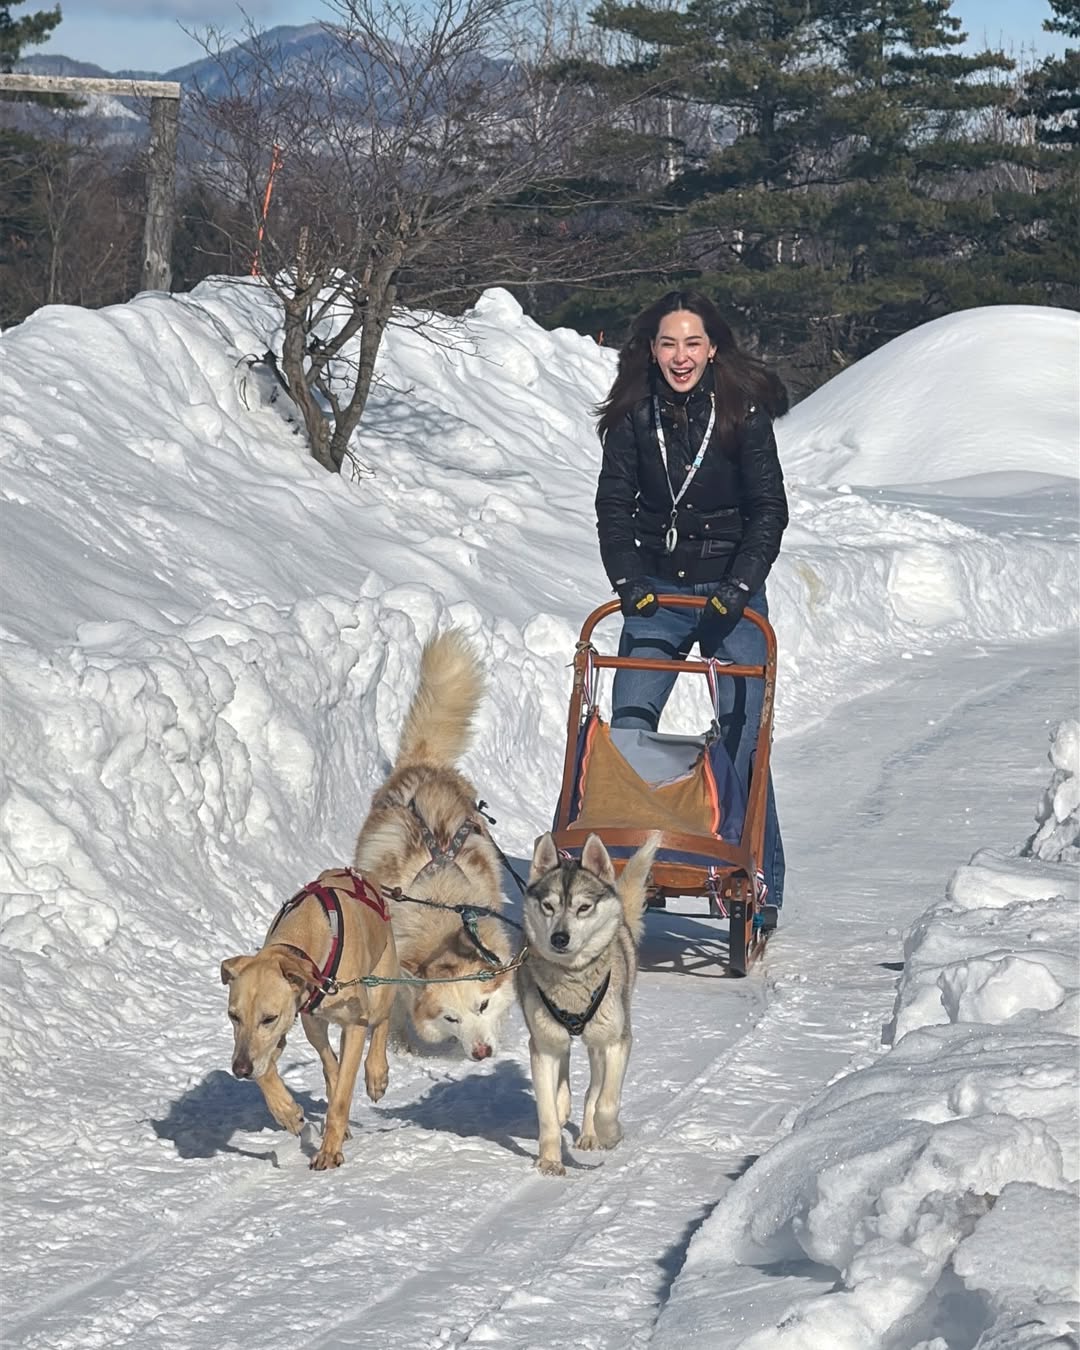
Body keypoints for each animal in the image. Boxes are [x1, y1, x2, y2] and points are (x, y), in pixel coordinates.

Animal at [221, 869, 399, 1166]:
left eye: (268, 1018)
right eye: (233, 1016)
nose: (239, 1070)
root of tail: (363, 874)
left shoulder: (354, 1023)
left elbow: (341, 1099)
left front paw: (329, 1151)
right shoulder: (294, 1023)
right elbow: (269, 1070)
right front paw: (288, 1113)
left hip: (381, 984)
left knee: (382, 1021)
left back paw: (376, 1074)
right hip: (312, 1026)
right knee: (331, 1062)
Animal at [351, 631, 515, 1063]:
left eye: (482, 1006)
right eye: (450, 1018)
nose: (481, 1053)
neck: (440, 904)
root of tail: (424, 763)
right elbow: (396, 1006)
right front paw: (400, 1043)